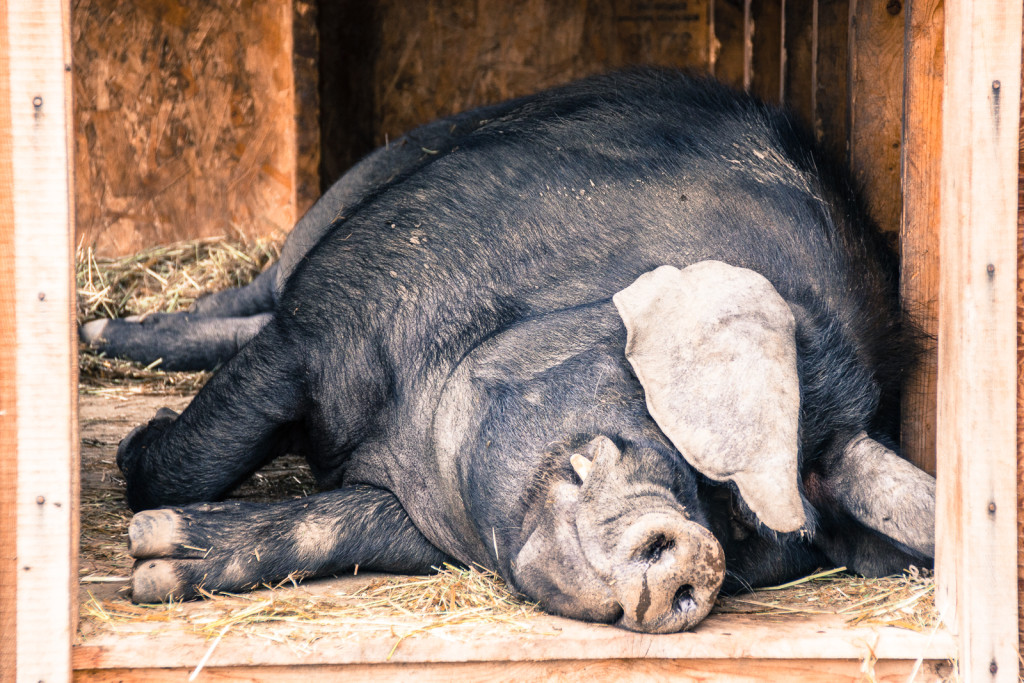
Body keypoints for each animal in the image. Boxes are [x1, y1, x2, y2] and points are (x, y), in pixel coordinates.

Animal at [110, 70, 937, 634]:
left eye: (740, 533)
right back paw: (109, 334)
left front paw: (158, 556)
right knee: (252, 297)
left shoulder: (418, 519)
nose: (698, 552)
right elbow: (194, 455)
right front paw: (134, 451)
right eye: (681, 435)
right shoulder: (325, 319)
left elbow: (332, 526)